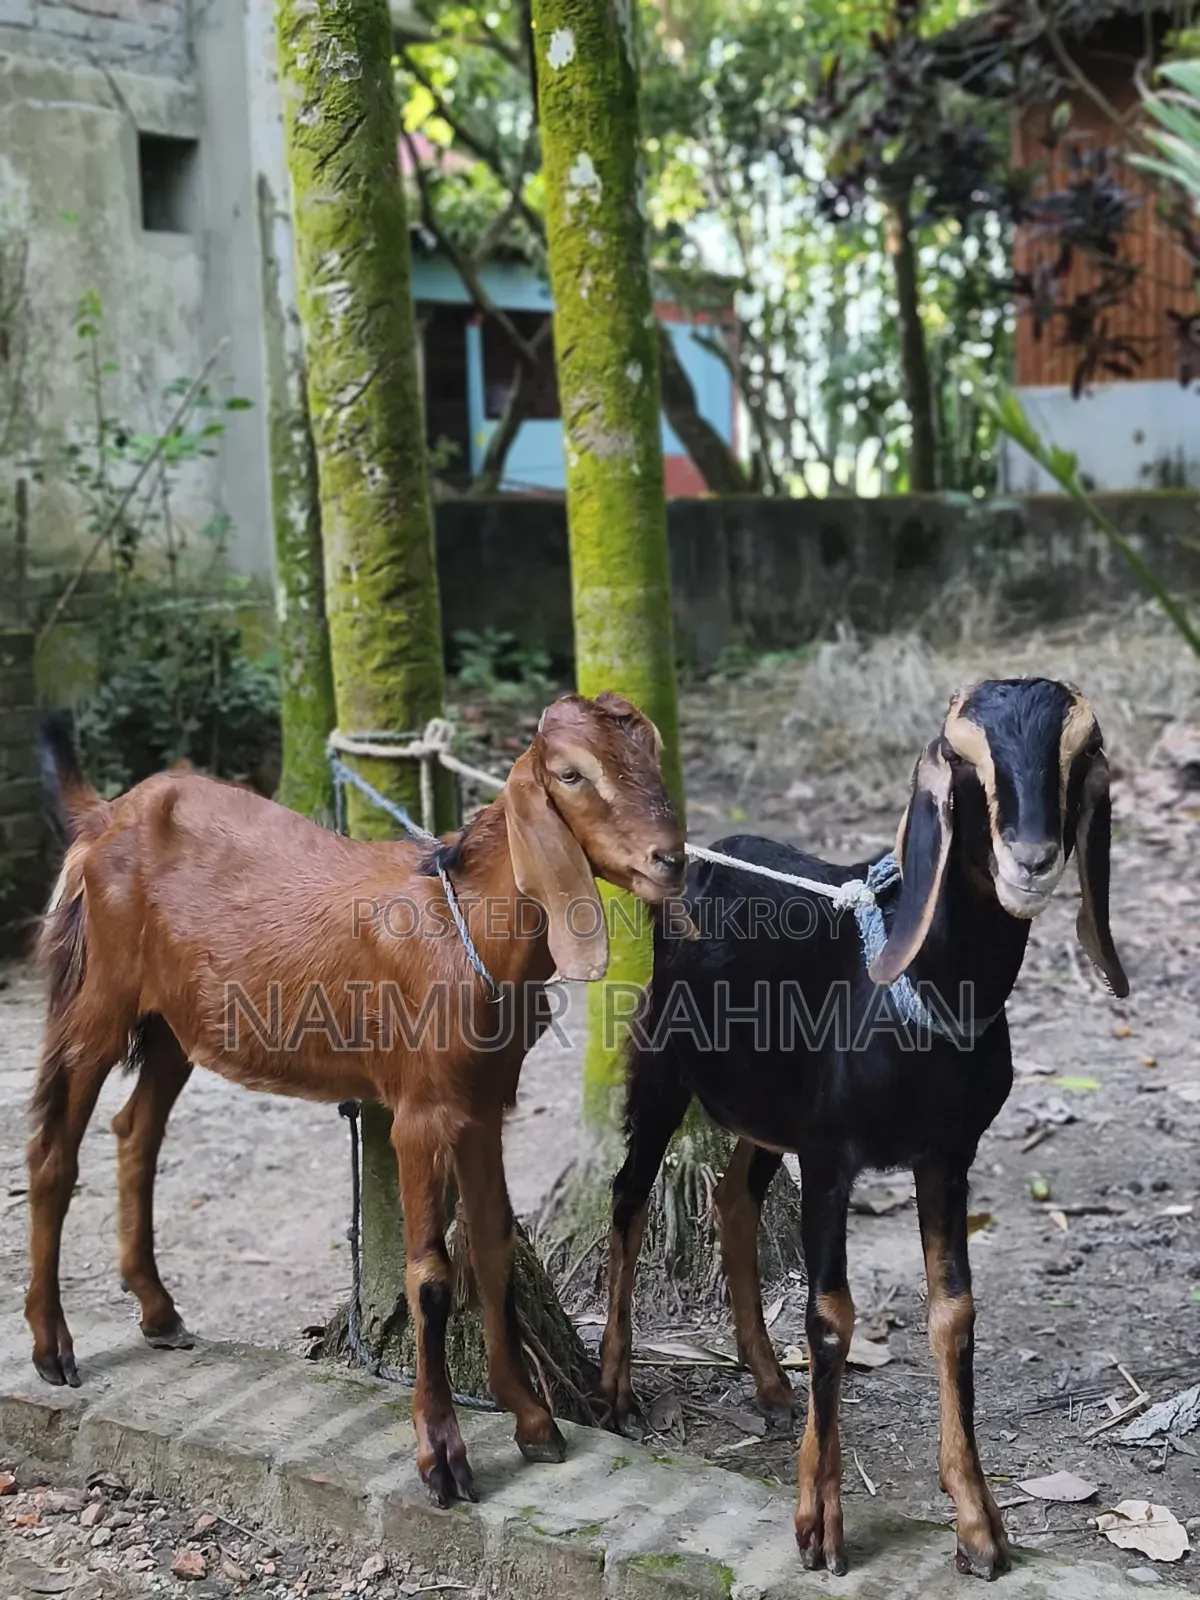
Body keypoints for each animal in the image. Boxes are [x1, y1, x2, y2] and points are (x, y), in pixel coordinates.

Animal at [29, 692, 684, 1507]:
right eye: (571, 773)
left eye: (650, 751)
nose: (671, 859)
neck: (467, 930)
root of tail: (103, 816)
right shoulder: (420, 1110)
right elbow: (431, 1277)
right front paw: (442, 1458)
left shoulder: (483, 1103)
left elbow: (494, 1247)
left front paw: (533, 1422)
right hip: (100, 995)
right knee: (53, 1148)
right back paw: (52, 1347)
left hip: (174, 1024)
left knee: (135, 1131)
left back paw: (158, 1311)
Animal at [599, 678, 1128, 1580]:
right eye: (967, 765)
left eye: (1078, 755)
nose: (1030, 858)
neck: (915, 991)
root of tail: (707, 857)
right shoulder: (831, 1157)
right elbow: (830, 1314)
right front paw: (820, 1524)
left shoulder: (946, 1154)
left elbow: (954, 1311)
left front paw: (979, 1525)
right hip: (663, 1064)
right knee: (630, 1196)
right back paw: (617, 1392)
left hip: (768, 1107)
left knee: (733, 1197)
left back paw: (771, 1386)